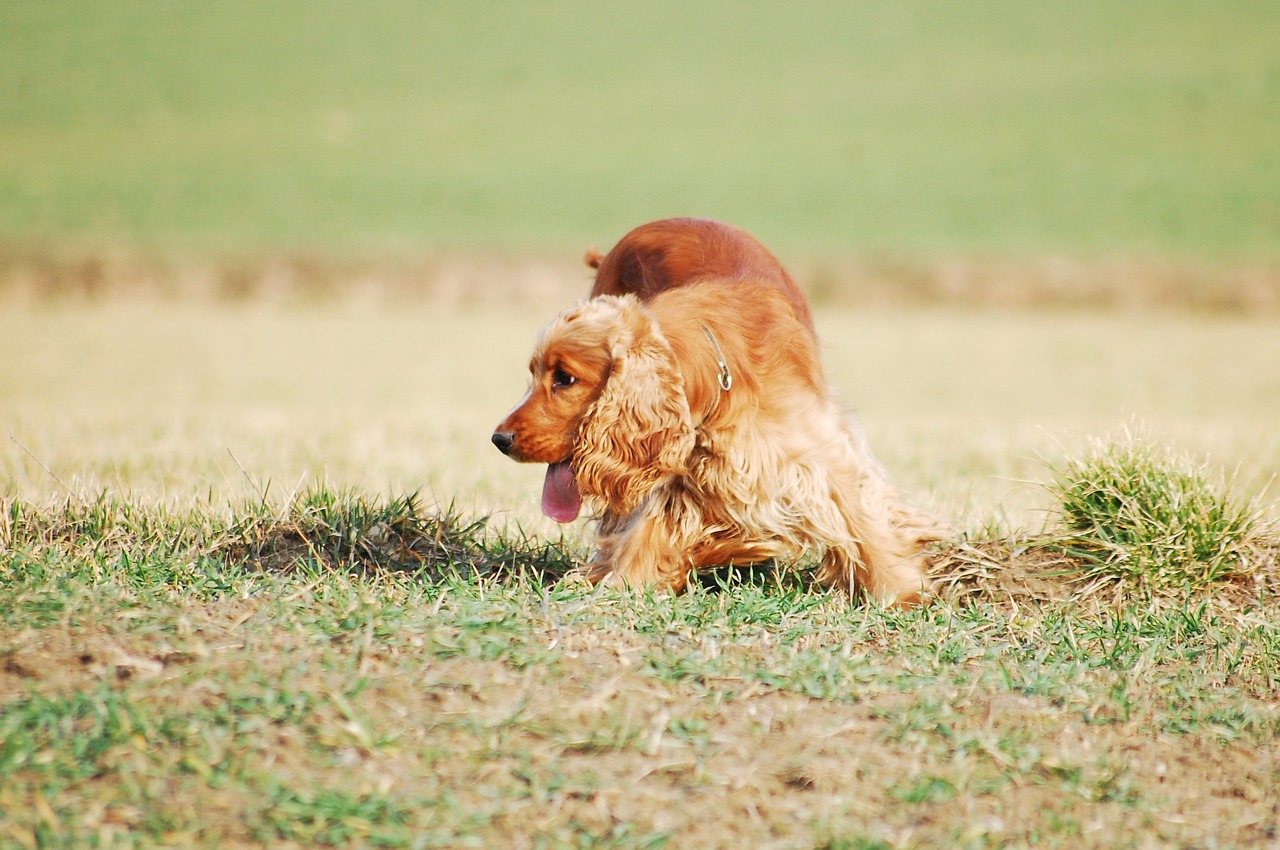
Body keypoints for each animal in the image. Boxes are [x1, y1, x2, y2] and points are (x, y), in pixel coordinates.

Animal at [488, 222, 931, 601]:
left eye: (564, 378)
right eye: (533, 374)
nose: (499, 439)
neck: (718, 373)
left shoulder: (819, 452)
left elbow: (863, 522)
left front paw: (902, 591)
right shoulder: (676, 471)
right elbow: (649, 528)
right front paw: (625, 580)